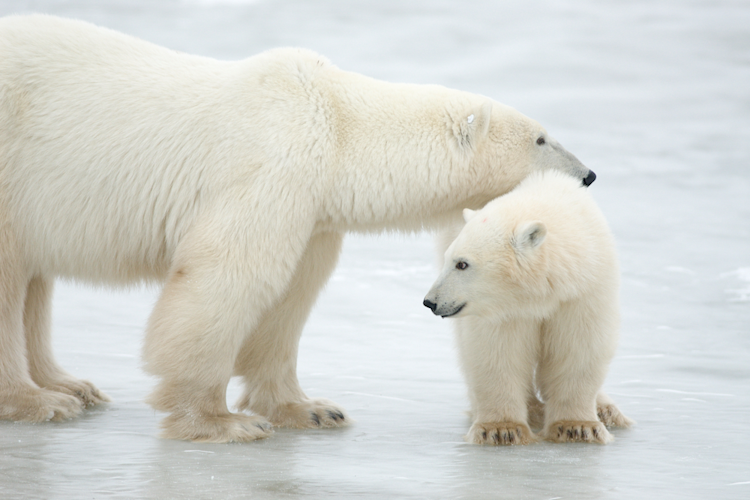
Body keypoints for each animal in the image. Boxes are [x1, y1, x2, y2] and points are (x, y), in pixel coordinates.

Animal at [0, 15, 595, 443]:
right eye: (541, 138)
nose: (588, 174)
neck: (336, 126)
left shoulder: (312, 210)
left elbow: (291, 294)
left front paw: (310, 410)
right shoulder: (270, 165)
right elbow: (229, 278)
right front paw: (219, 421)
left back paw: (70, 385)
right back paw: (38, 401)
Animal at [423, 170, 632, 445]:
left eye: (462, 264)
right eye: (452, 260)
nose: (430, 301)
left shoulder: (583, 292)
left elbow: (578, 349)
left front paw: (578, 427)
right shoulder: (504, 311)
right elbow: (498, 353)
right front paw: (501, 429)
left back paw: (607, 410)